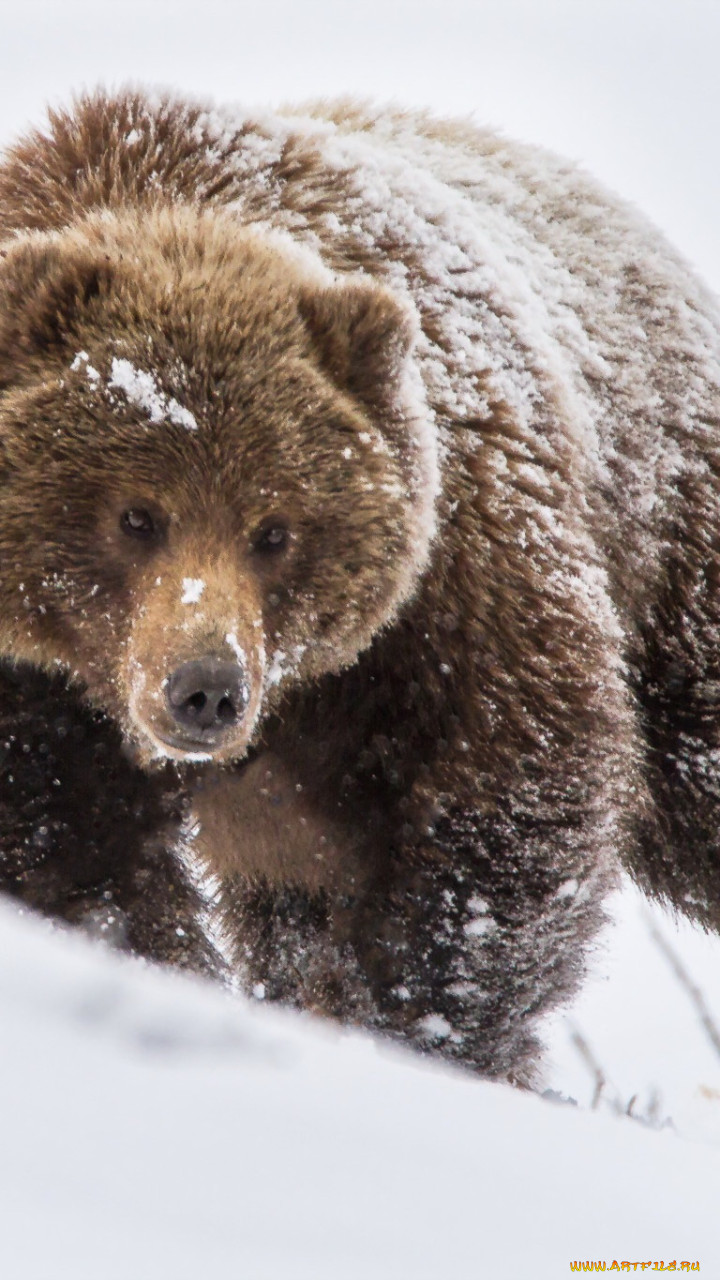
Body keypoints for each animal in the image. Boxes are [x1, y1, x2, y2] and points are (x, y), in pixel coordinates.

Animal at [1, 87, 717, 1080]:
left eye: (275, 530)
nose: (205, 689)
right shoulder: (42, 688)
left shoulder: (453, 576)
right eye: (136, 516)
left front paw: (428, 1026)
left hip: (672, 545)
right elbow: (74, 858)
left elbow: (505, 802)